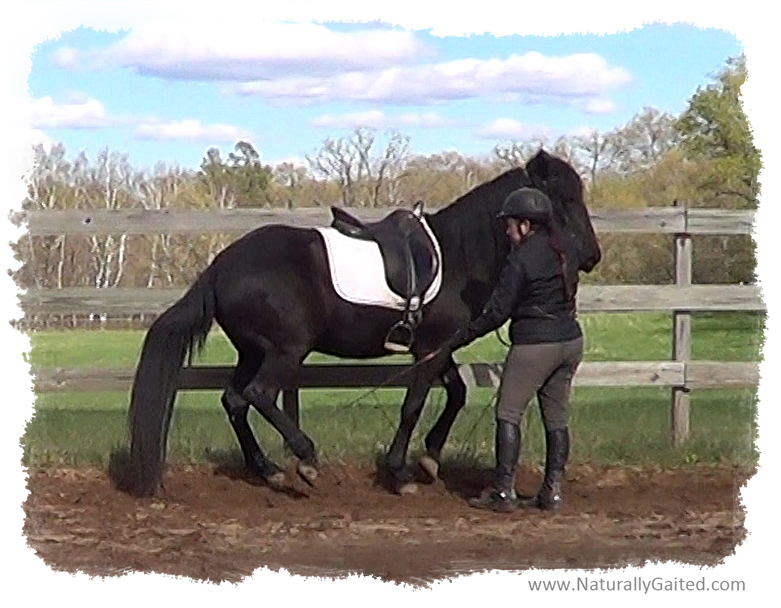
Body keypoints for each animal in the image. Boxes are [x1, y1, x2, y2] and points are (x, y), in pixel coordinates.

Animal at [123, 150, 601, 496]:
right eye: (565, 199)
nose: (591, 256)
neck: (456, 256)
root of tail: (220, 267)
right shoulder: (431, 349)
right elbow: (413, 405)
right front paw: (400, 473)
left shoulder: (435, 346)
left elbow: (457, 393)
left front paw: (430, 458)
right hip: (284, 351)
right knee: (259, 396)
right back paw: (305, 460)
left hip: (253, 350)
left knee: (235, 401)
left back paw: (270, 470)